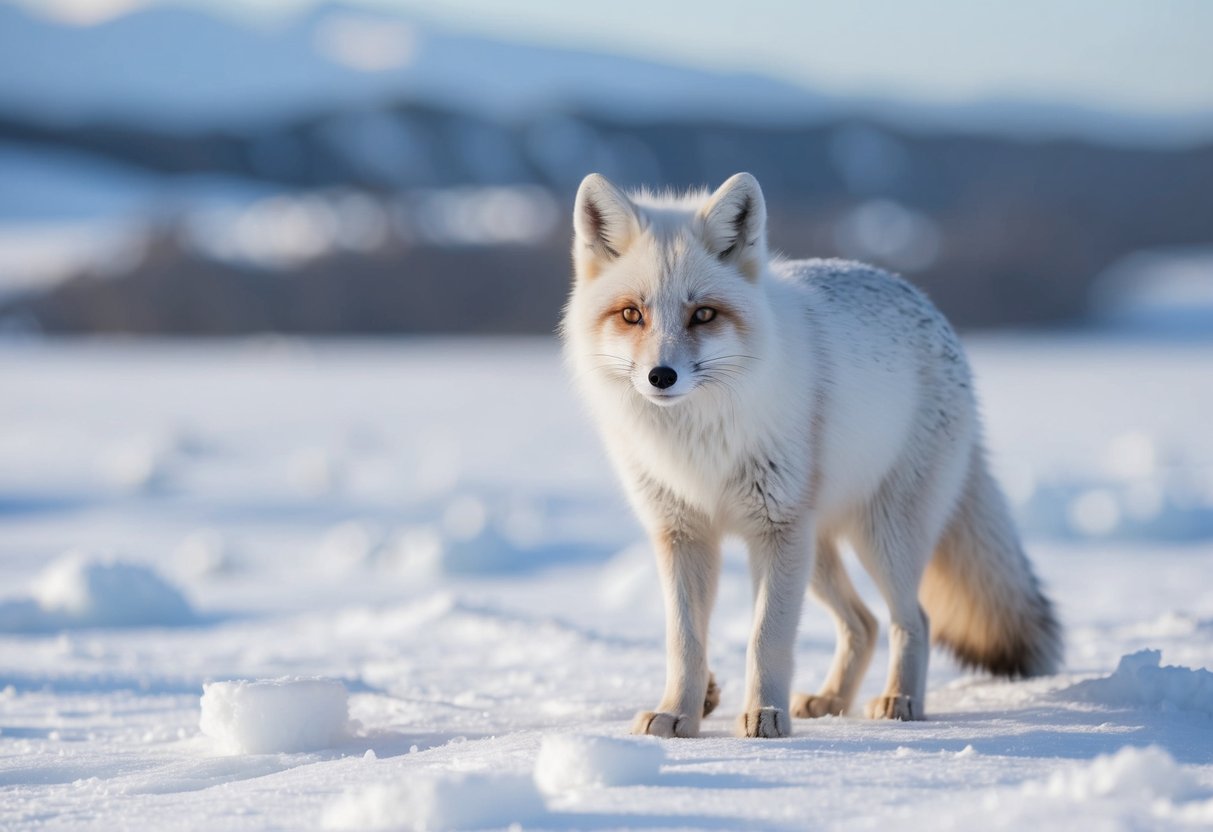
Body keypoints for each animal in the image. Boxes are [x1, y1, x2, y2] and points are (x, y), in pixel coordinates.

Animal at [560, 172, 1061, 738]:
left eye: (703, 314)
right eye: (632, 314)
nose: (660, 376)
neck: (699, 442)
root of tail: (929, 308)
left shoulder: (776, 529)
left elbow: (766, 638)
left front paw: (765, 716)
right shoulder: (683, 533)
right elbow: (684, 642)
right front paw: (679, 714)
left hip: (878, 539)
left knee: (913, 619)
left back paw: (899, 700)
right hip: (817, 551)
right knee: (864, 623)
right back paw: (830, 699)